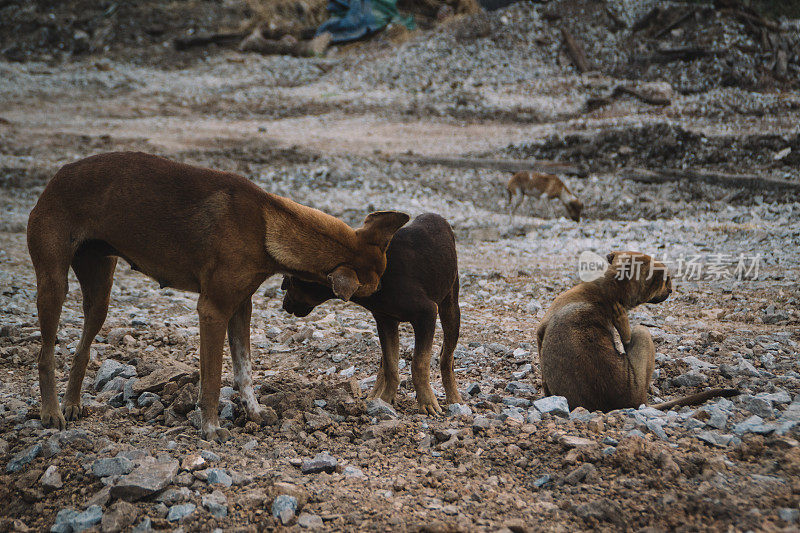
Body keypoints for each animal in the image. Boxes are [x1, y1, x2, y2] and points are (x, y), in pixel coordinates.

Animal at [28, 151, 410, 440]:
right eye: (370, 293)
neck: (268, 224)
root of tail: (59, 174)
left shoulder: (241, 308)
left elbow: (244, 370)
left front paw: (253, 412)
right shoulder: (212, 310)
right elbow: (212, 378)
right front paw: (210, 428)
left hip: (100, 293)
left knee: (81, 349)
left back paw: (72, 403)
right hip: (53, 284)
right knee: (45, 354)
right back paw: (51, 411)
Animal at [282, 214, 460, 414]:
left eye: (291, 280)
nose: (284, 304)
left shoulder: (426, 313)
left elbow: (419, 363)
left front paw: (427, 403)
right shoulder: (385, 320)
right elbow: (390, 365)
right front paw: (385, 399)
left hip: (450, 305)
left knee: (447, 358)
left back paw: (454, 398)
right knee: (385, 362)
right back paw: (375, 395)